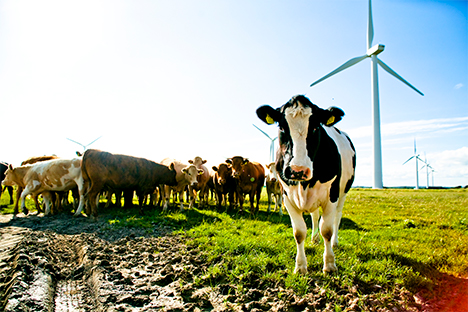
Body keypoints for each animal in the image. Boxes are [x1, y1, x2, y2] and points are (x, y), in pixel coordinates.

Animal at [256, 94, 354, 272]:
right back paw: (314, 239)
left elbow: (327, 230)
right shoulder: (287, 197)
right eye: (282, 127)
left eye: (315, 128)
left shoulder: (331, 196)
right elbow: (299, 232)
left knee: (337, 217)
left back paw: (334, 243)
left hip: (343, 192)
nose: (297, 170)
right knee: (315, 217)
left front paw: (330, 264)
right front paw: (300, 266)